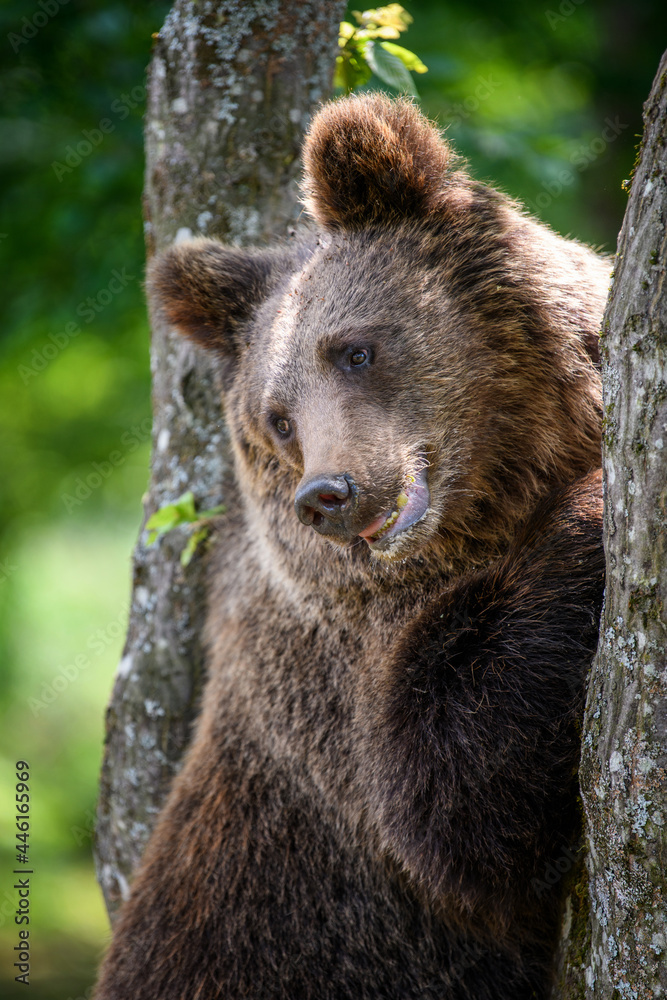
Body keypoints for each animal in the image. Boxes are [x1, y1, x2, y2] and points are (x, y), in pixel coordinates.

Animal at [93, 93, 610, 1000]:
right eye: (278, 417)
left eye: (355, 349)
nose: (326, 495)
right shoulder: (332, 687)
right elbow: (455, 801)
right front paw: (594, 502)